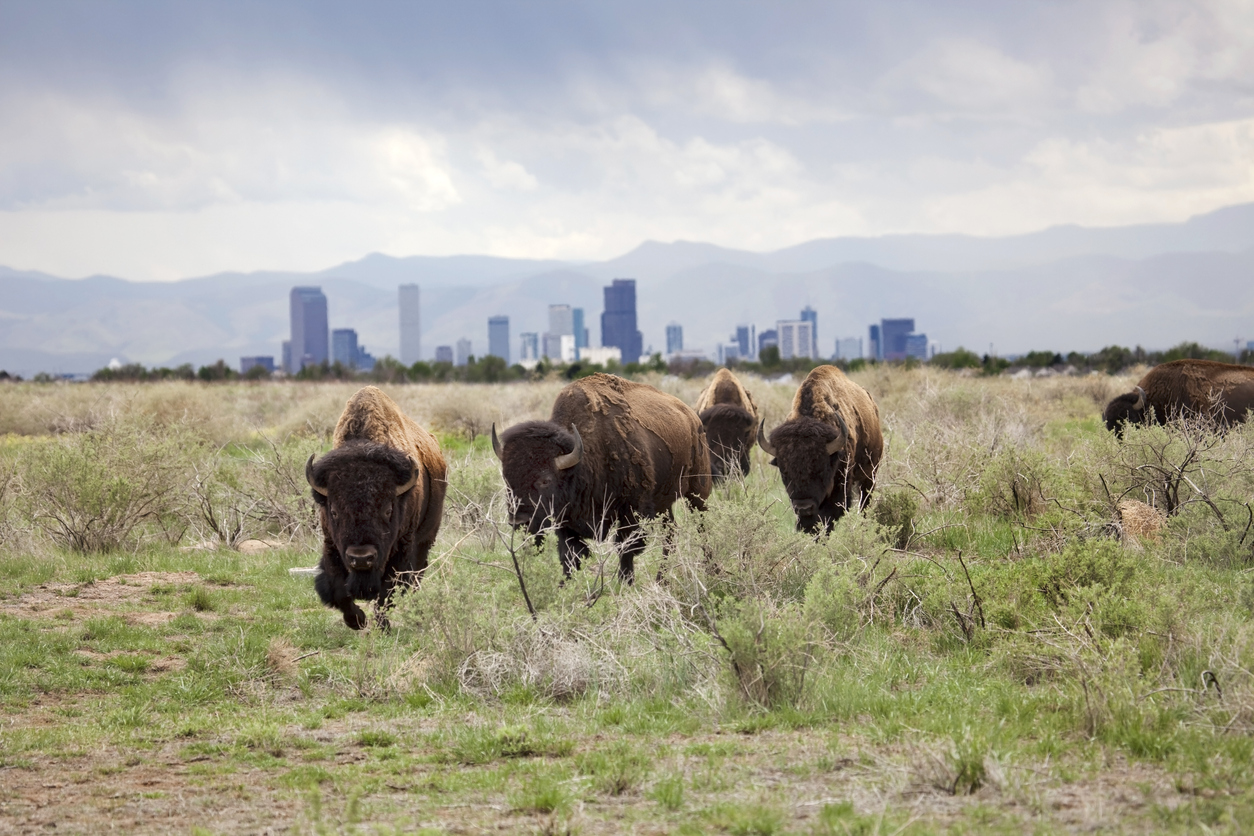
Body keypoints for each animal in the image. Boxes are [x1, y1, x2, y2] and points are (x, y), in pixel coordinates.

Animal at [306, 386, 447, 629]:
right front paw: (358, 621)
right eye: (334, 511)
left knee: (418, 573)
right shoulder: (331, 545)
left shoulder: (401, 549)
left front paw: (383, 627)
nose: (362, 558)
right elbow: (338, 589)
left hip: (426, 537)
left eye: (388, 510)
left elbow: (387, 592)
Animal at [492, 373, 711, 582]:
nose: (519, 521)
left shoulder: (631, 514)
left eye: (545, 480)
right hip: (664, 504)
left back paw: (712, 570)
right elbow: (569, 556)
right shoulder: (566, 522)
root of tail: (692, 418)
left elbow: (625, 551)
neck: (582, 462)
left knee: (702, 528)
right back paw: (661, 579)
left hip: (697, 493)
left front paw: (625, 584)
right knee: (670, 534)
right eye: (506, 478)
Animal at [759, 365, 883, 534]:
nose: (804, 508)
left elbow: (829, 515)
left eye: (820, 471)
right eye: (785, 473)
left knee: (864, 503)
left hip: (870, 474)